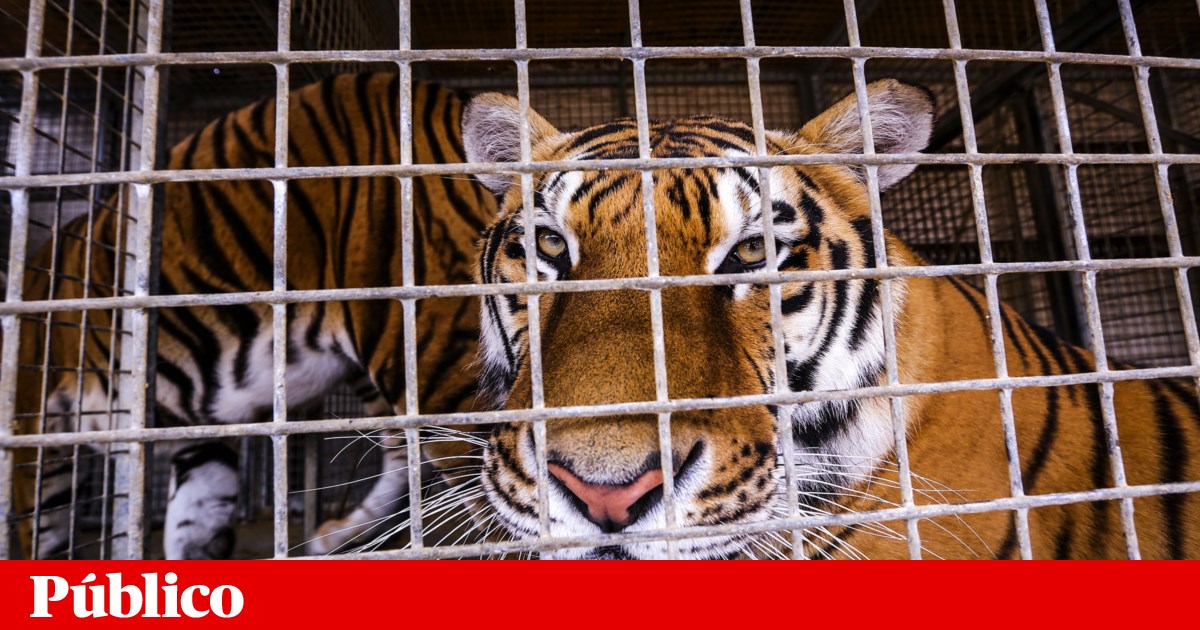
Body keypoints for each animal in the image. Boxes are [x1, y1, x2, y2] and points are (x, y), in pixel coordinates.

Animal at [10, 73, 495, 559]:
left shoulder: (33, 426)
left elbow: (38, 532)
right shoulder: (203, 446)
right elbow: (193, 526)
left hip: (433, 355)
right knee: (402, 453)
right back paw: (338, 535)